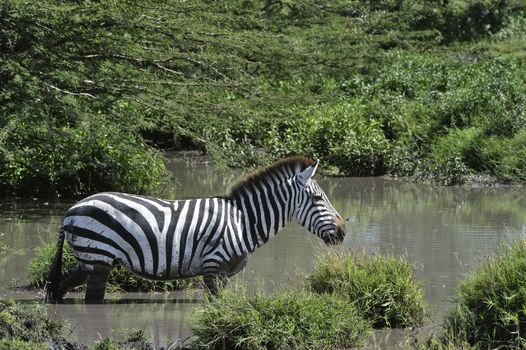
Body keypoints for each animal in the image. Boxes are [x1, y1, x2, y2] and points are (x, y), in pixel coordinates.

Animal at [46, 155, 346, 300]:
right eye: (318, 198)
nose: (343, 232)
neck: (243, 220)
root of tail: (71, 210)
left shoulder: (222, 272)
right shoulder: (214, 268)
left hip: (90, 259)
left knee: (60, 287)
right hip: (99, 258)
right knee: (92, 301)